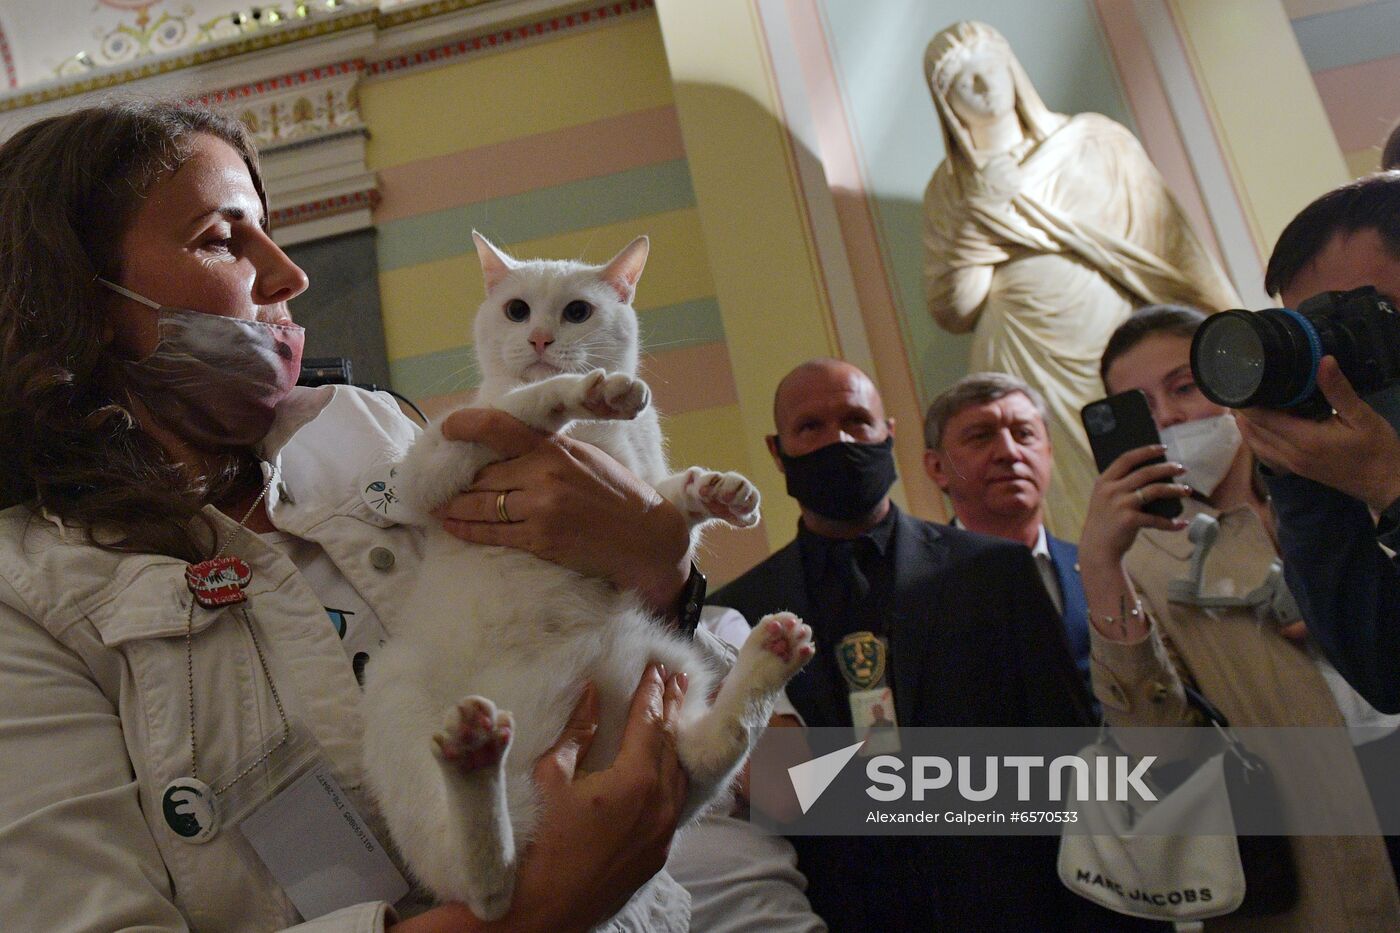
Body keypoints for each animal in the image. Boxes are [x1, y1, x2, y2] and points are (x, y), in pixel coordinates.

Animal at [361, 233, 817, 924]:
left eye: (577, 312)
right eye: (517, 310)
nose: (541, 339)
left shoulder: (645, 490)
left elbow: (670, 501)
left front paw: (720, 490)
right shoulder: (424, 474)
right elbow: (517, 408)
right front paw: (584, 393)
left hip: (672, 671)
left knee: (712, 748)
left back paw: (774, 652)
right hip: (394, 687)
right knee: (484, 887)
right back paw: (472, 753)